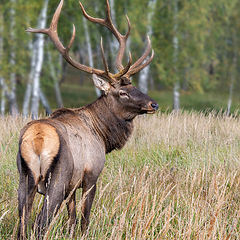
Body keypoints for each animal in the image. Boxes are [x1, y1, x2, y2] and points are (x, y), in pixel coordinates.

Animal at [17, 0, 159, 238]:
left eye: (134, 86)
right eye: (123, 92)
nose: (153, 104)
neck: (102, 135)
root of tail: (38, 138)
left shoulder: (72, 186)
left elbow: (71, 219)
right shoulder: (91, 174)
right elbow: (84, 218)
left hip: (24, 175)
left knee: (22, 221)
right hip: (58, 177)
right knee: (40, 222)